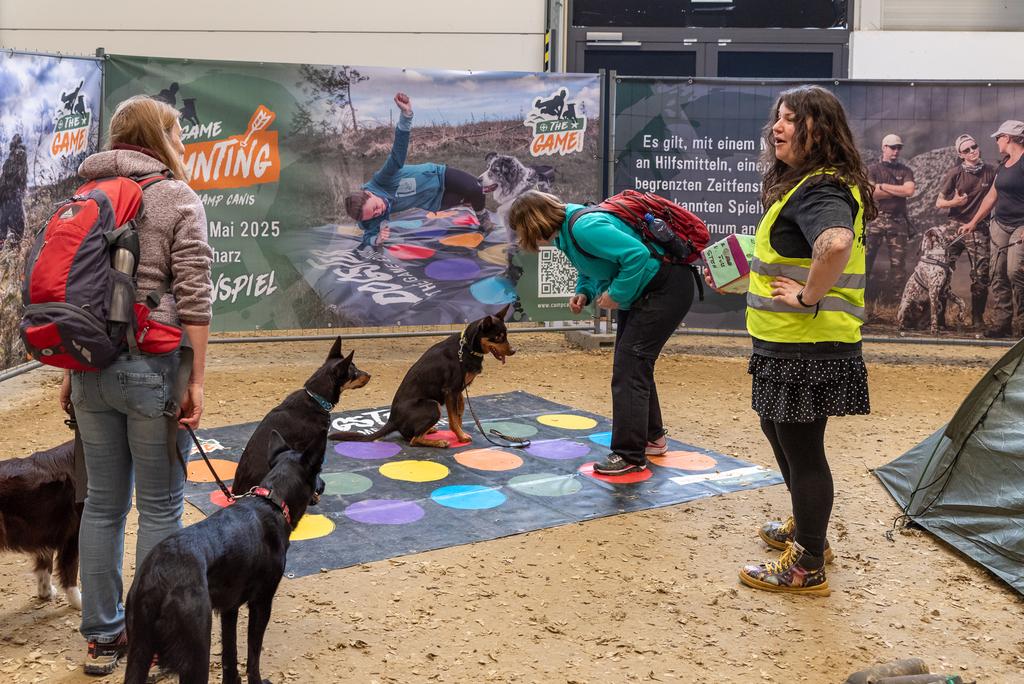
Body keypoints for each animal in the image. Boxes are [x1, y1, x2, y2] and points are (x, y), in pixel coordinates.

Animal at [0, 440, 82, 609]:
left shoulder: (45, 531)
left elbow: (45, 566)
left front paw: (46, 593)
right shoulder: (74, 532)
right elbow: (70, 569)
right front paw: (79, 602)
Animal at [124, 430, 322, 684]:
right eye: (319, 470)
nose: (324, 485)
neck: (272, 501)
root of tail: (157, 579)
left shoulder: (229, 608)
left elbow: (230, 655)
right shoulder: (261, 603)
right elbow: (253, 655)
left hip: (139, 650)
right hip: (196, 649)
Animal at [330, 305, 514, 448]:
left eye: (506, 335)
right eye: (498, 337)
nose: (513, 351)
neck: (467, 347)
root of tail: (392, 420)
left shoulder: (459, 391)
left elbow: (459, 414)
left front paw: (459, 434)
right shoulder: (450, 391)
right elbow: (454, 419)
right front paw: (460, 436)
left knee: (411, 435)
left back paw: (430, 431)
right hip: (432, 406)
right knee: (413, 440)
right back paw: (439, 442)